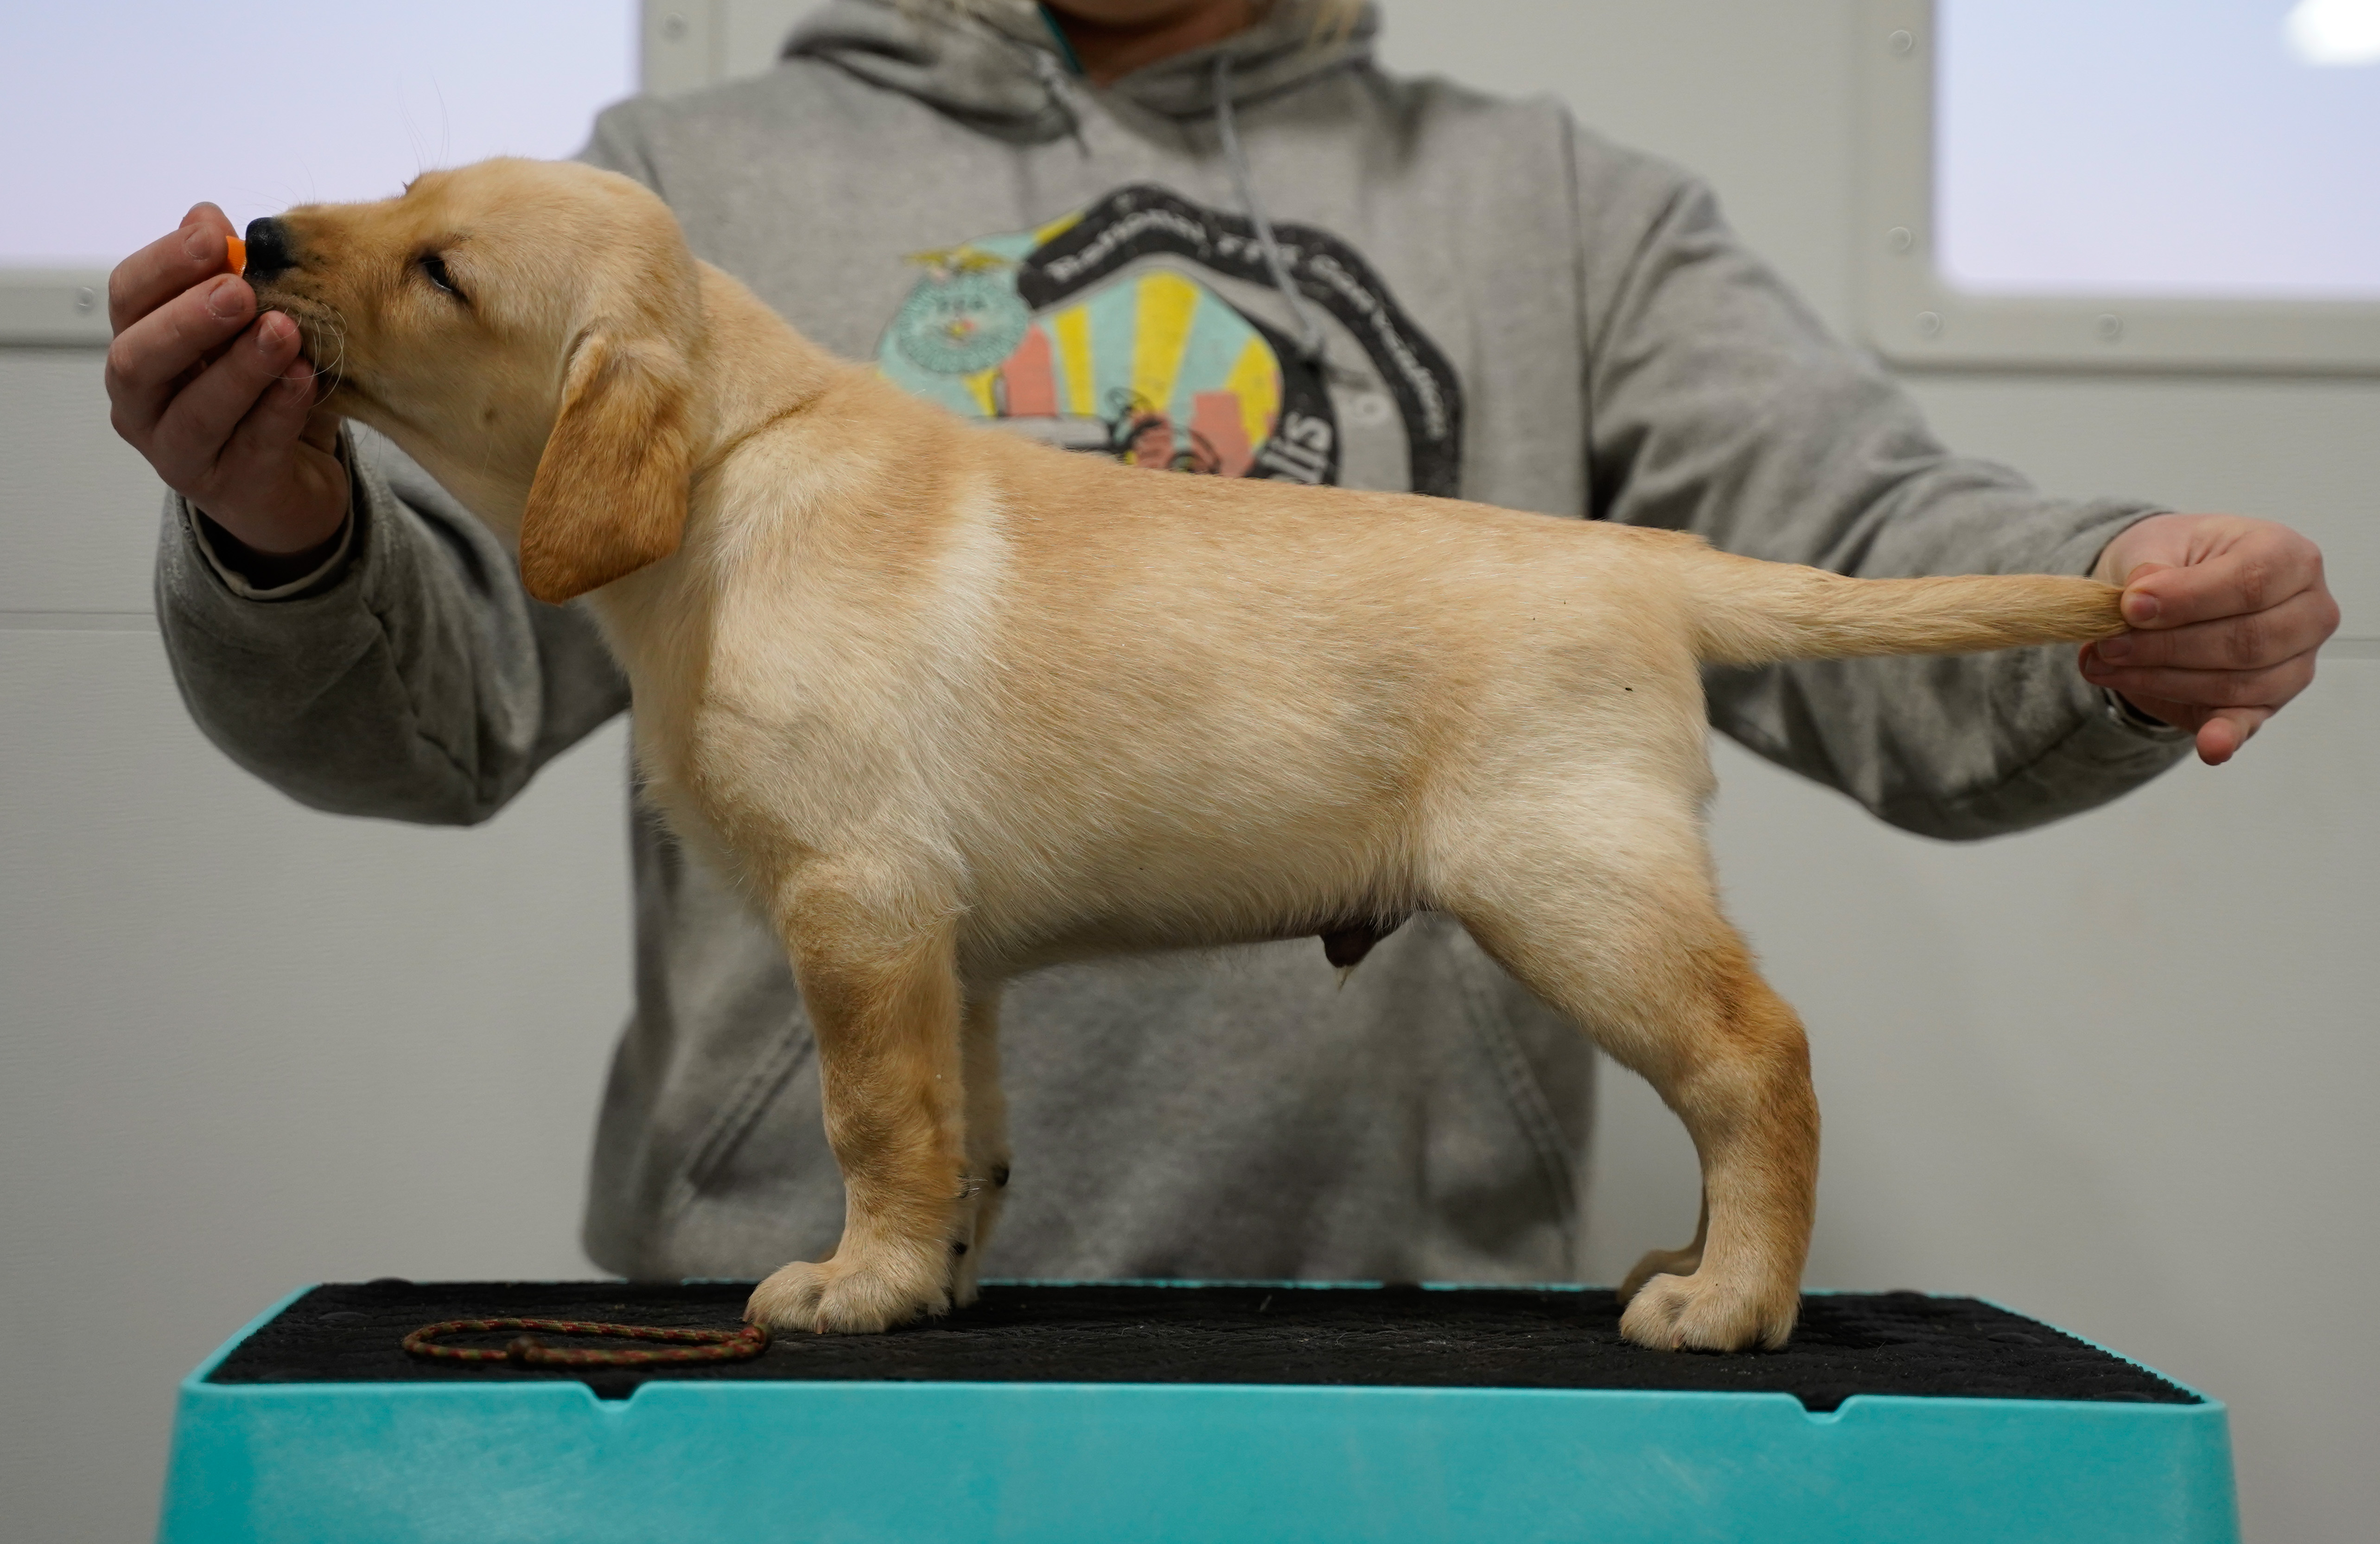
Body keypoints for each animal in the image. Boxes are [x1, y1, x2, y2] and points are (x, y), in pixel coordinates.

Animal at [242, 159, 2123, 1351]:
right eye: (399, 193)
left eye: (441, 271)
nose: (255, 237)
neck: (727, 468)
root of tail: (1641, 560)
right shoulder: (940, 951)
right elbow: (960, 1134)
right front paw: (926, 1283)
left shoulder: (855, 904)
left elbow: (869, 1119)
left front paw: (849, 1287)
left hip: (1571, 884)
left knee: (1756, 1055)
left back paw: (1729, 1300)